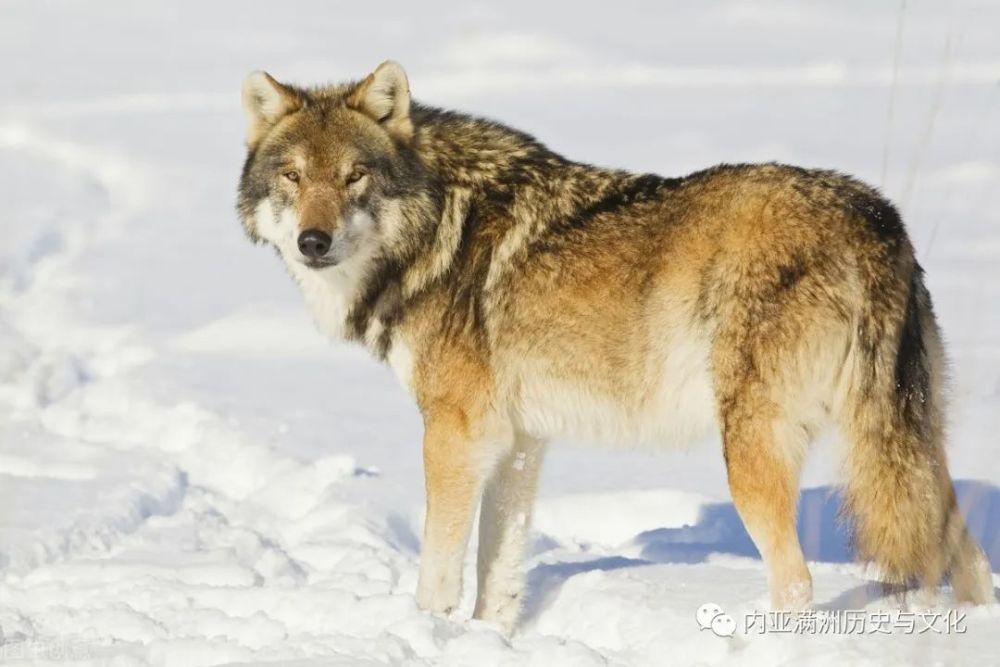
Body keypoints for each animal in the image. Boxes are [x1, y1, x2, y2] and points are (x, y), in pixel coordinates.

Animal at [238, 61, 996, 632]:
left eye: (354, 176)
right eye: (293, 176)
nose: (313, 241)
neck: (435, 231)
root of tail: (875, 216)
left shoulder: (454, 434)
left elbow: (437, 571)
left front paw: (429, 634)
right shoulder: (518, 442)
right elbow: (496, 572)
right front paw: (489, 639)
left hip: (755, 457)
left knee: (798, 583)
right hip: (910, 449)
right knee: (968, 561)